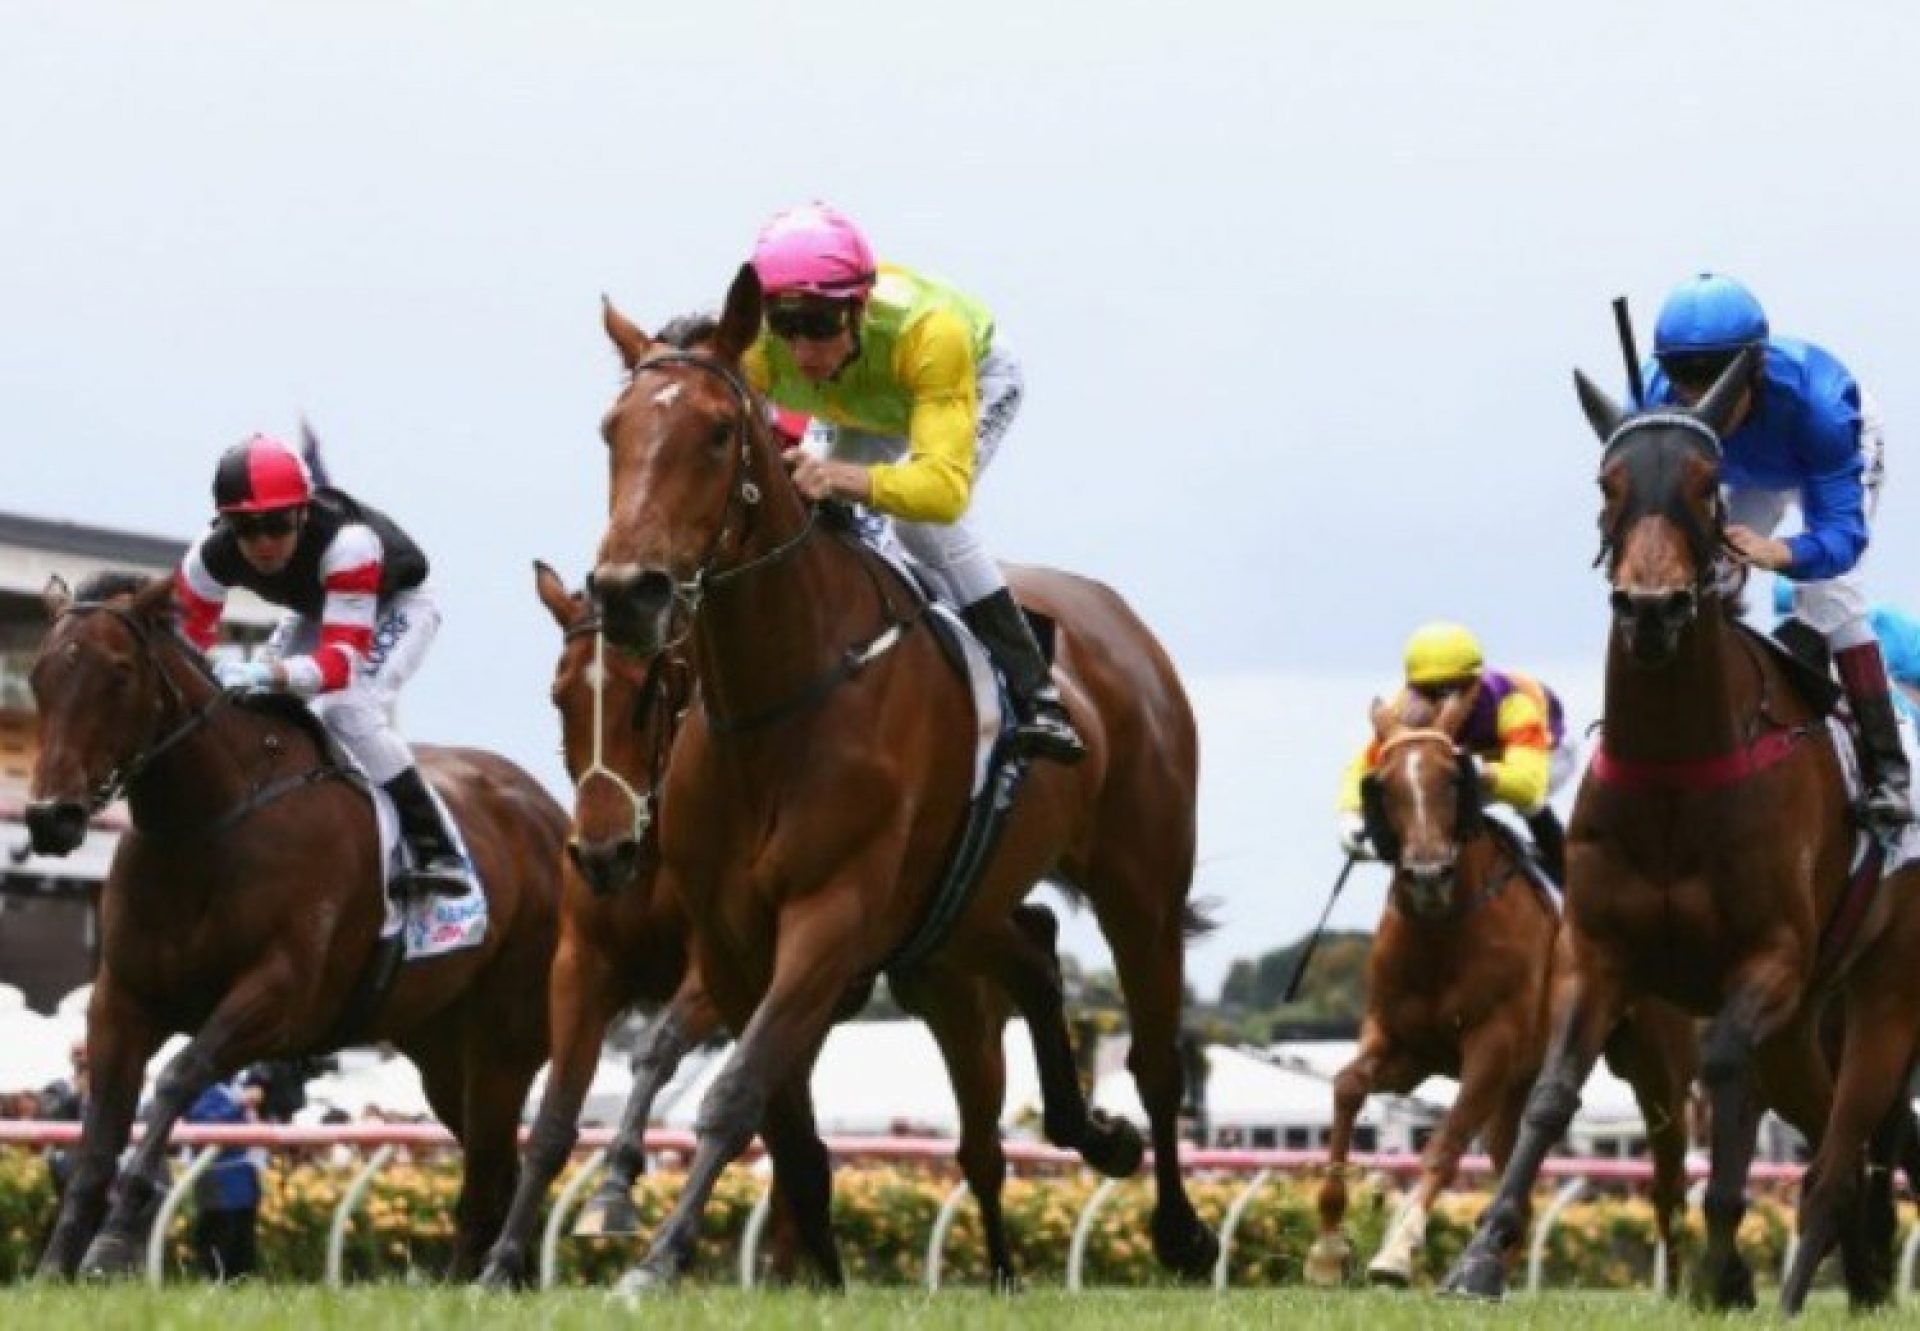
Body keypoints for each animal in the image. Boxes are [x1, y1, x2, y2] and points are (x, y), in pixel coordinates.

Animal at [24, 572, 560, 1275]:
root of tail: (552, 814)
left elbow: (179, 1076)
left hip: (504, 1040)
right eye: (37, 676)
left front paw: (113, 1242)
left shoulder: (281, 996)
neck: (210, 825)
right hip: (443, 1049)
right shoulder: (122, 999)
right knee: (494, 1165)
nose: (50, 817)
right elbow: (97, 1138)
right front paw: (55, 1264)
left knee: (492, 1172)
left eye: (119, 672)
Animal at [480, 560, 1136, 1290]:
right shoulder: (586, 959)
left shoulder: (724, 963)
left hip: (949, 988)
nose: (602, 852)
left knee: (981, 1144)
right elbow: (557, 1117)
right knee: (1029, 950)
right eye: (560, 694)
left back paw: (1008, 1253)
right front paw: (509, 1256)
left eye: (653, 691)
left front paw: (618, 1188)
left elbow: (660, 1048)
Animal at [583, 259, 1213, 1290]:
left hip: (1142, 888)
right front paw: (804, 1267)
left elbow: (738, 1088)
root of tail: (1123, 627)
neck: (778, 699)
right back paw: (1093, 1134)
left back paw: (1181, 1229)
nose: (627, 592)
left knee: (1158, 1063)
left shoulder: (832, 915)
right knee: (1034, 955)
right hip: (959, 907)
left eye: (716, 432)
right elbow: (779, 1120)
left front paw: (661, 1256)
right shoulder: (732, 938)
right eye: (614, 430)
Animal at [1305, 695, 1697, 1290]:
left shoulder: (1492, 1044)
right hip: (1516, 1094)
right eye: (1385, 785)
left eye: (1451, 779)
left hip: (1656, 1070)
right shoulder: (1403, 1046)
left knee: (1668, 1172)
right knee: (1519, 1179)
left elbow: (1445, 1142)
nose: (1427, 875)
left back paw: (1673, 1285)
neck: (1441, 933)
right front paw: (1329, 1245)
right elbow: (1348, 1087)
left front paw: (1397, 1249)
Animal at [1443, 345, 1920, 1306]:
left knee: (1840, 1149)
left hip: (1886, 993)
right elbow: (1552, 1093)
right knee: (1841, 1137)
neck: (1675, 773)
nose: (1653, 607)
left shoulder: (1769, 959)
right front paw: (1483, 1250)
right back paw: (1860, 1271)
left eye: (1707, 487)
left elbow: (1725, 1066)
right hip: (1810, 1020)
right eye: (1608, 480)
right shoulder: (1598, 952)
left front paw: (1724, 1264)